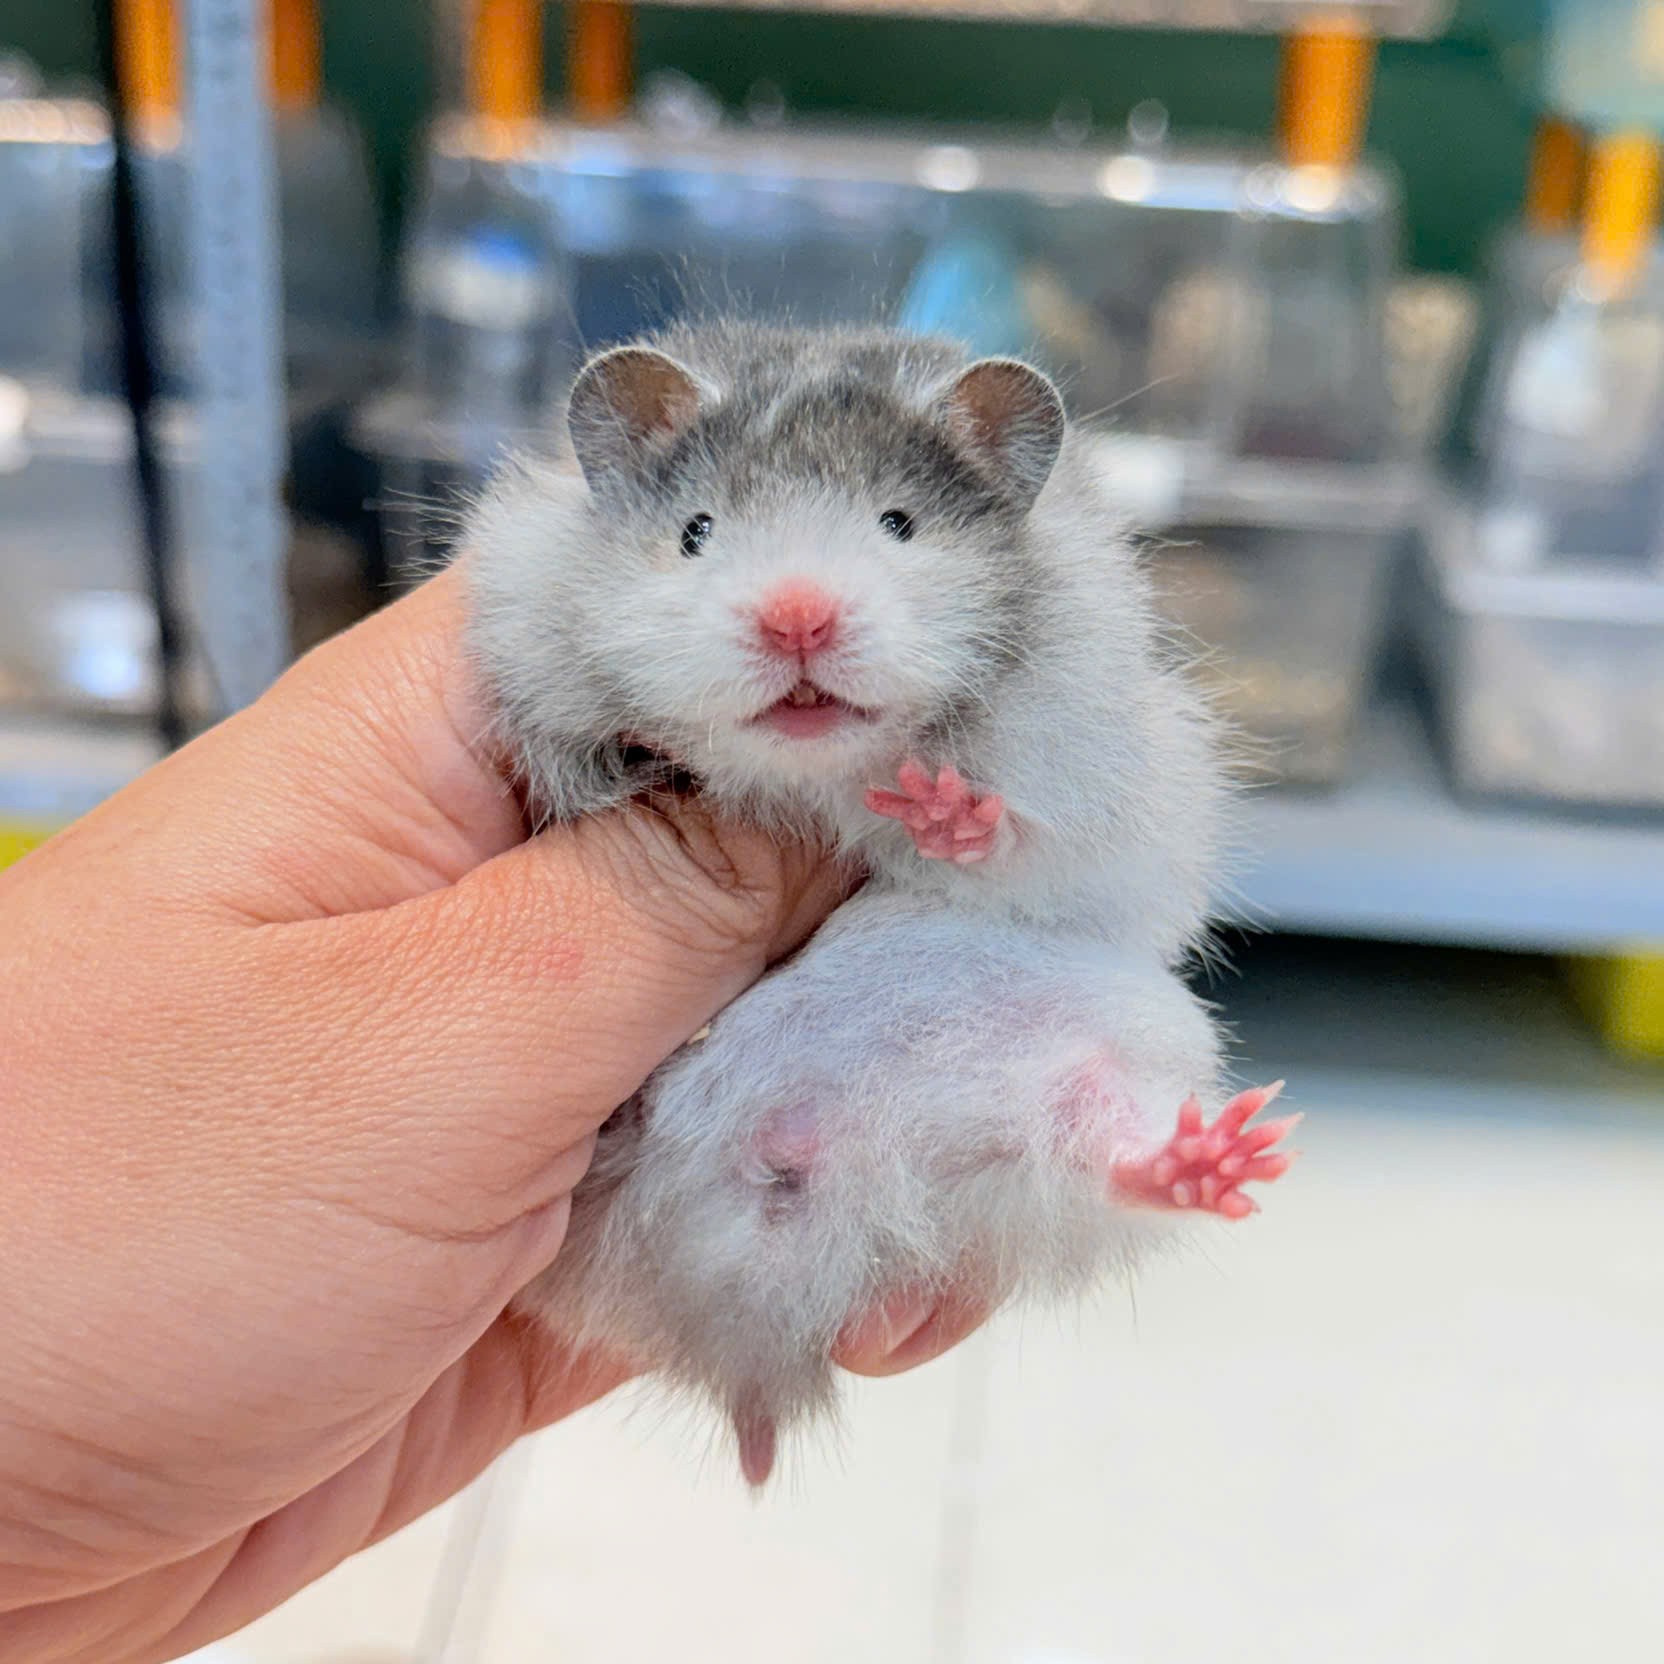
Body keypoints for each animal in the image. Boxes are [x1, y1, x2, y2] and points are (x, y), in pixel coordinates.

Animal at [463, 322, 1294, 1485]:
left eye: (898, 524)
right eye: (695, 533)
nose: (797, 615)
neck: (818, 778)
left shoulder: (1121, 799)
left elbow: (1025, 845)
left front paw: (940, 807)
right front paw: (650, 756)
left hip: (1091, 1084)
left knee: (1106, 1145)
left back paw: (1219, 1157)